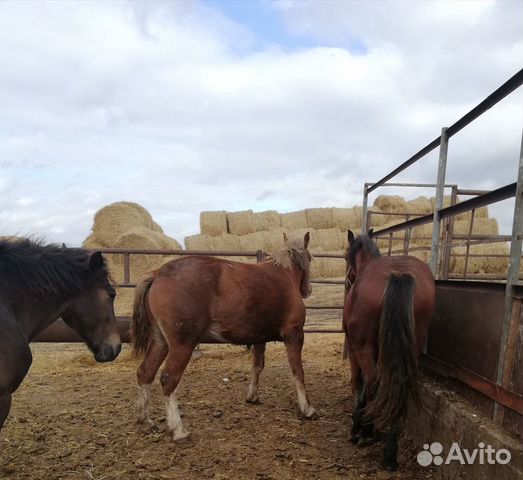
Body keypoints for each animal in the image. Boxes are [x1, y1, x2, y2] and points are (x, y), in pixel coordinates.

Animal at [131, 232, 320, 442]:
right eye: (310, 258)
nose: (308, 290)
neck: (284, 274)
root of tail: (157, 274)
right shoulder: (294, 335)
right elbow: (297, 371)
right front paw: (307, 408)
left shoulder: (259, 338)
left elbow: (257, 367)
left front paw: (252, 396)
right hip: (182, 345)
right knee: (168, 378)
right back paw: (178, 430)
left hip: (160, 342)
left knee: (145, 372)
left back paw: (145, 420)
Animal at [344, 231, 434, 470]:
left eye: (346, 256)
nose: (348, 281)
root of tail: (399, 274)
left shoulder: (355, 349)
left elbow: (358, 383)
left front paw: (359, 424)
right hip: (412, 345)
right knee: (399, 384)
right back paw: (390, 452)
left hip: (364, 347)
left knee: (373, 380)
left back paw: (367, 430)